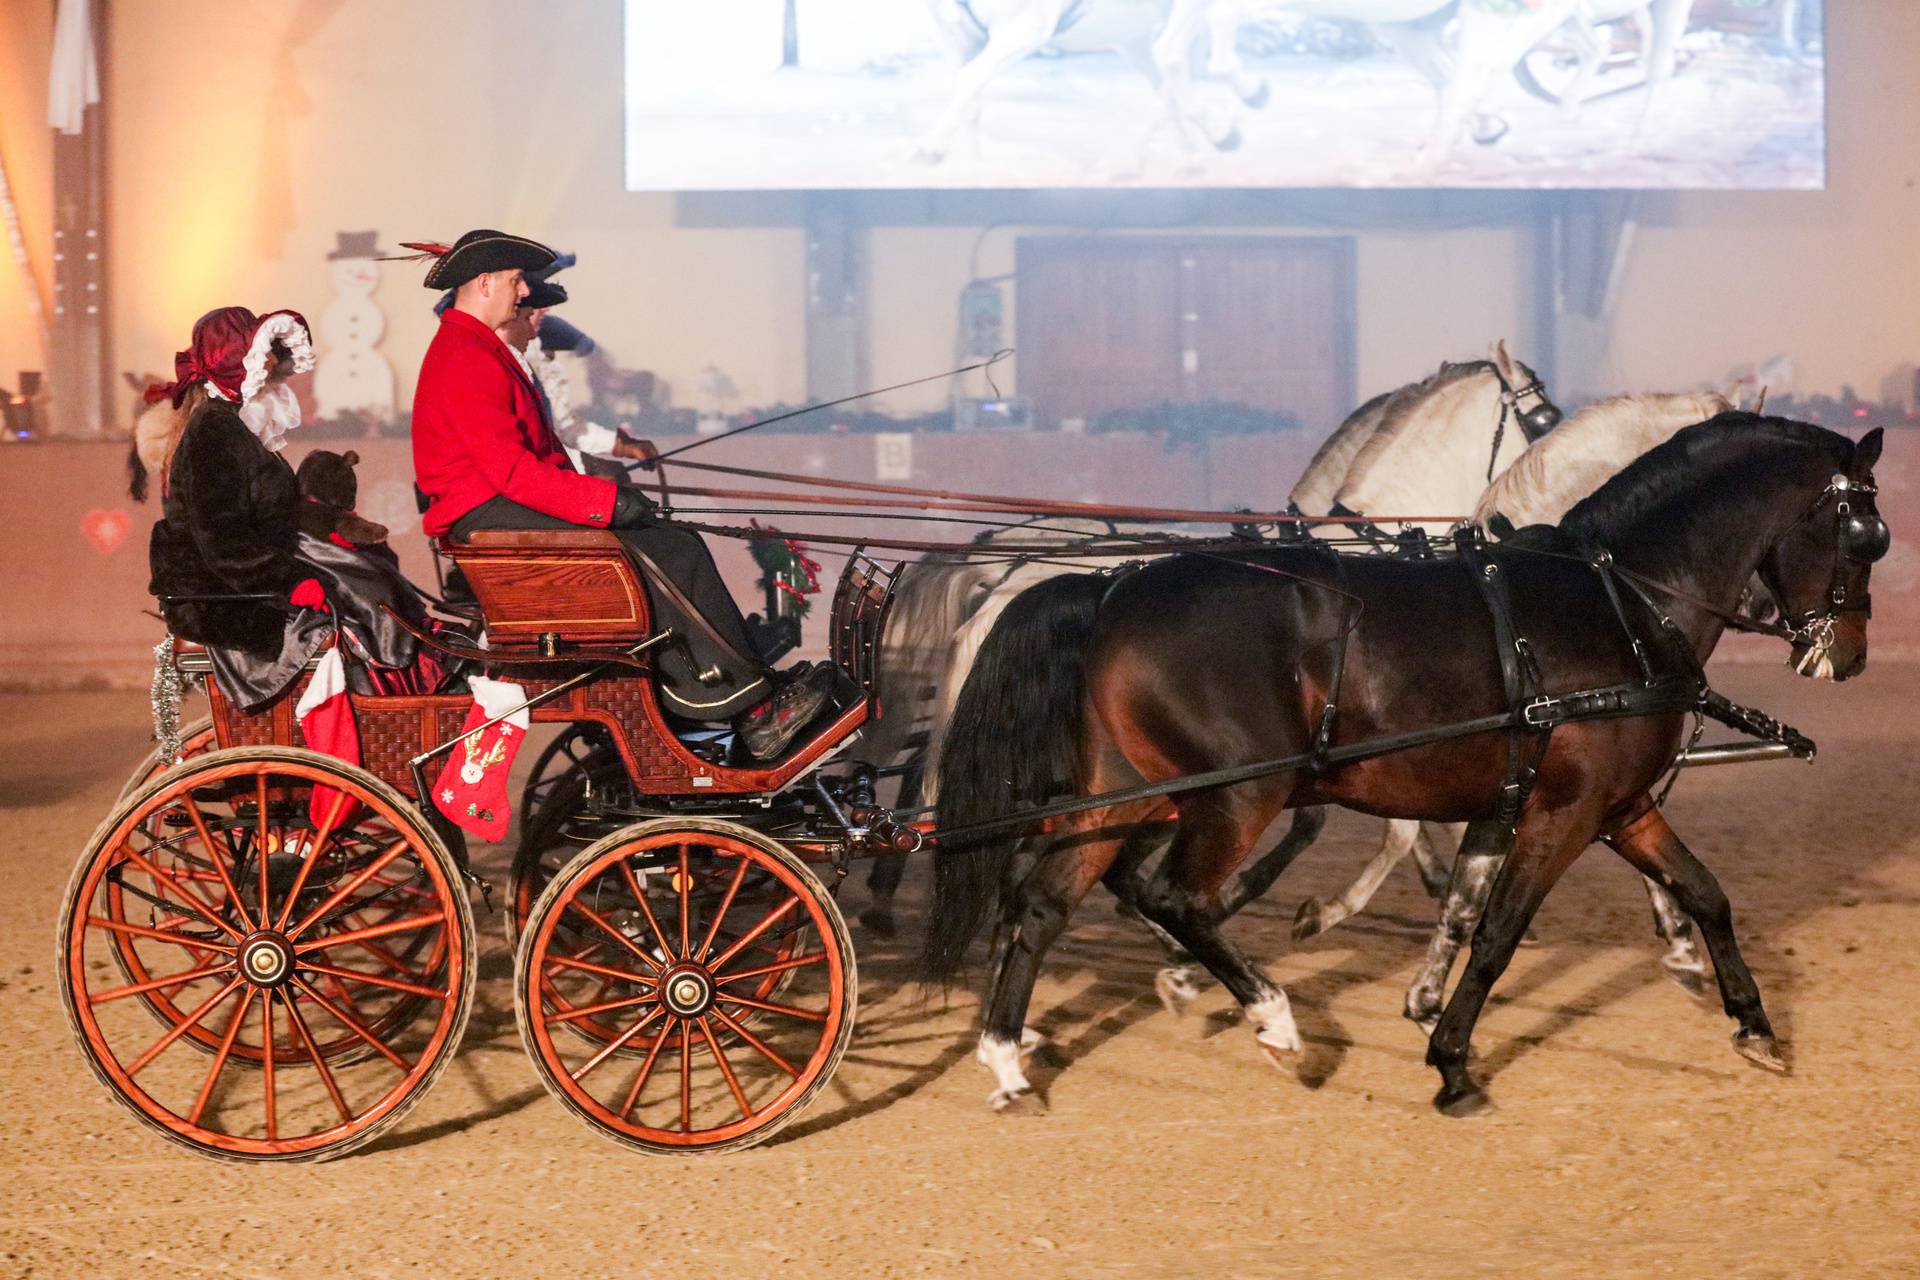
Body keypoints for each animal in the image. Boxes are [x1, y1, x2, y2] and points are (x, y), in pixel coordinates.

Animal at [929, 418, 1889, 1113]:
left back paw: (1008, 1061)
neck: (1618, 600)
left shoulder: (1619, 807)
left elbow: (1704, 893)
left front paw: (1756, 1028)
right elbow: (1497, 934)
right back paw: (1276, 1024)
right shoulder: (1565, 812)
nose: (1848, 656)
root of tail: (1114, 586)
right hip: (1238, 795)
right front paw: (1452, 1065)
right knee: (1175, 898)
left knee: (1045, 903)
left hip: (1124, 792)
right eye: (1866, 536)